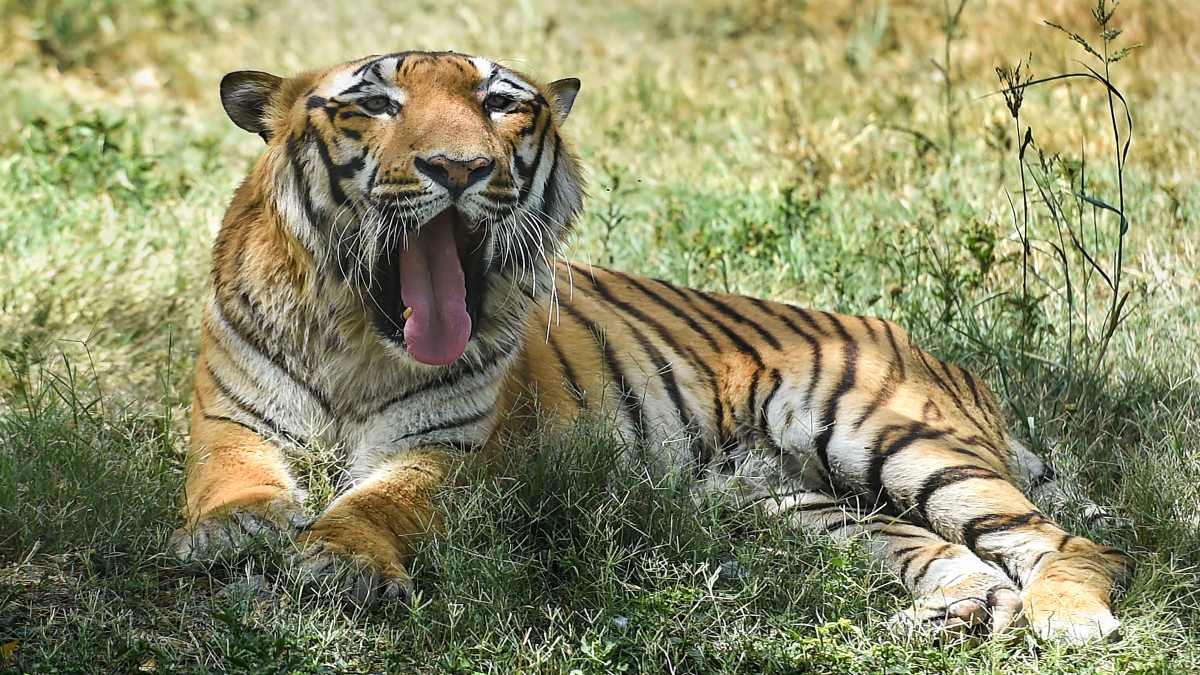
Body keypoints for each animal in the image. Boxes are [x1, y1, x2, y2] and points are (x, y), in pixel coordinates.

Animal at [174, 51, 1128, 638]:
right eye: (376, 104)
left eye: (500, 105)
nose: (460, 167)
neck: (355, 337)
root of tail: (937, 351)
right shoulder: (231, 420)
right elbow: (230, 481)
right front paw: (231, 528)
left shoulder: (444, 446)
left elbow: (379, 503)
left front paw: (339, 562)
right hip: (798, 503)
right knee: (956, 556)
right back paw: (950, 618)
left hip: (895, 437)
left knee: (1071, 543)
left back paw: (1068, 617)